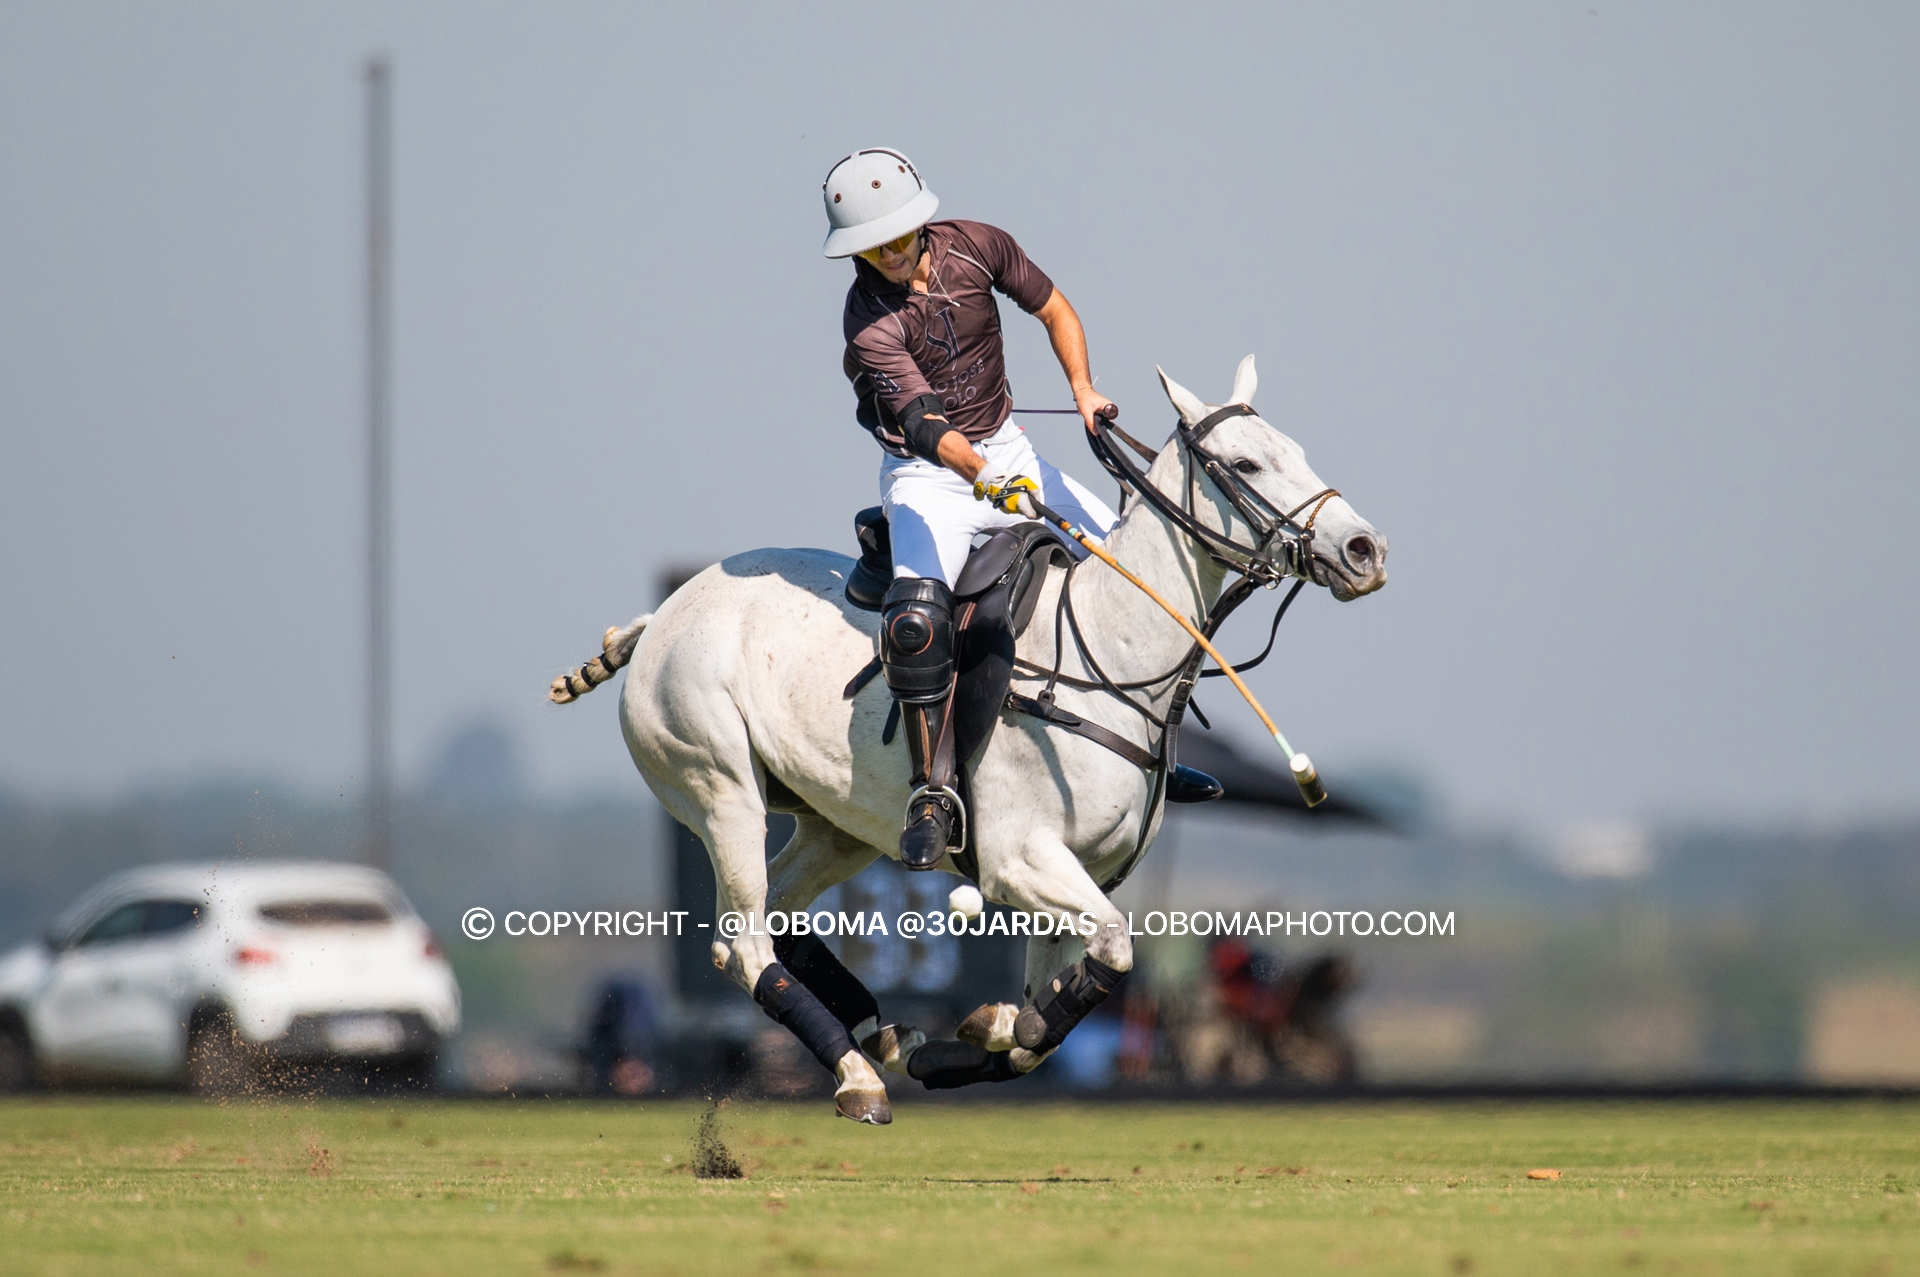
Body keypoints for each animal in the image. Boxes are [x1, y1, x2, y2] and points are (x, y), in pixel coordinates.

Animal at [549, 355, 1390, 1113]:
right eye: (1245, 461)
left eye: (1298, 450)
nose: (1365, 550)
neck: (1110, 650)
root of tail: (662, 615)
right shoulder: (1023, 859)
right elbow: (1111, 954)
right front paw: (991, 1030)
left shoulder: (1080, 874)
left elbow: (1051, 1010)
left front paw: (982, 1033)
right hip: (718, 785)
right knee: (742, 940)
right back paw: (858, 1076)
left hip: (836, 825)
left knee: (782, 916)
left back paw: (892, 1037)